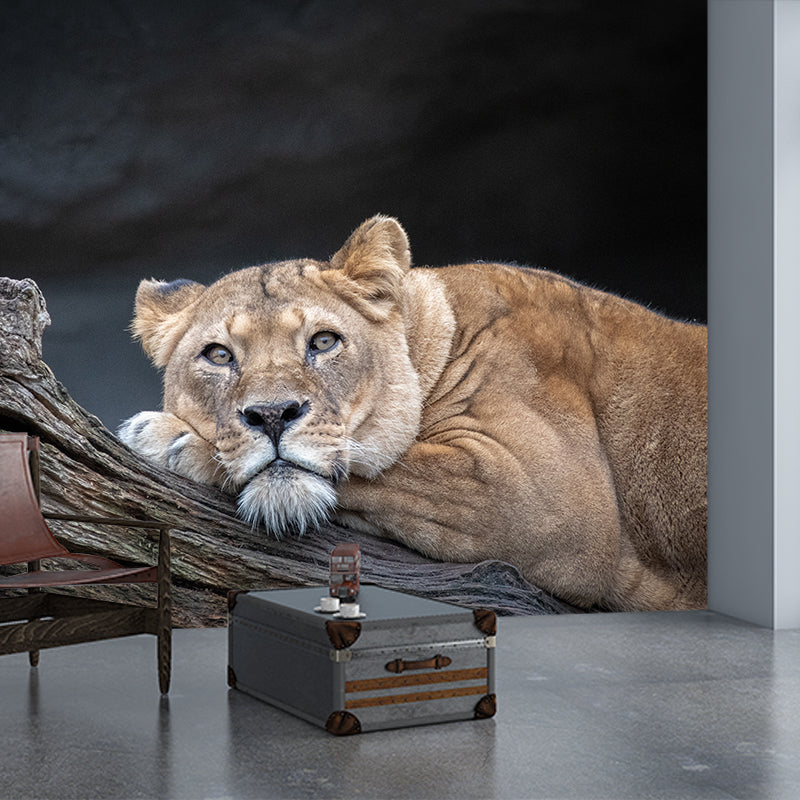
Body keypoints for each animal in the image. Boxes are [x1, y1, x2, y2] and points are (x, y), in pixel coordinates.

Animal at [118, 215, 707, 612]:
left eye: (323, 342)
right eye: (218, 355)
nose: (272, 415)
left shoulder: (547, 494)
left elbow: (386, 466)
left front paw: (165, 438)